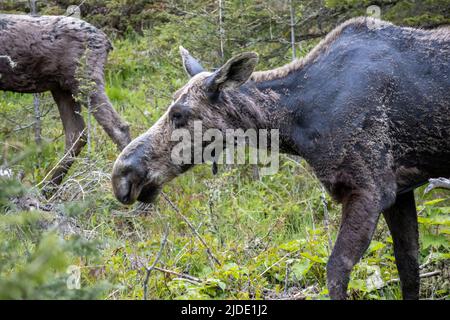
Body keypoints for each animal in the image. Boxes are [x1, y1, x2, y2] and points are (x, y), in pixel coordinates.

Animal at [0, 14, 130, 188]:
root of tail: (106, 42)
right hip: (61, 87)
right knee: (76, 133)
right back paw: (48, 188)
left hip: (83, 79)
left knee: (118, 128)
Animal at [111, 16, 450, 298]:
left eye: (179, 114)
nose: (122, 175)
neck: (297, 123)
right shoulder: (400, 191)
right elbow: (409, 269)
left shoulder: (370, 190)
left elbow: (336, 270)